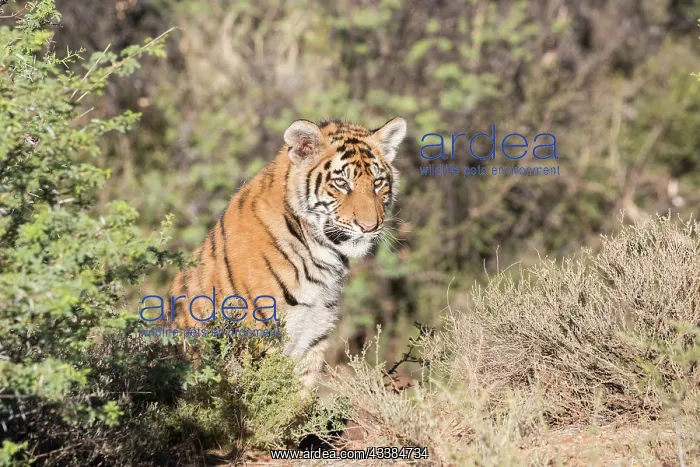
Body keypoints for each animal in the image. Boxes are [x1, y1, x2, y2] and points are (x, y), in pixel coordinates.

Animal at [168, 117, 407, 388]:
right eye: (341, 183)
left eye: (378, 183)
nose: (369, 227)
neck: (322, 255)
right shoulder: (261, 338)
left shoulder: (313, 337)